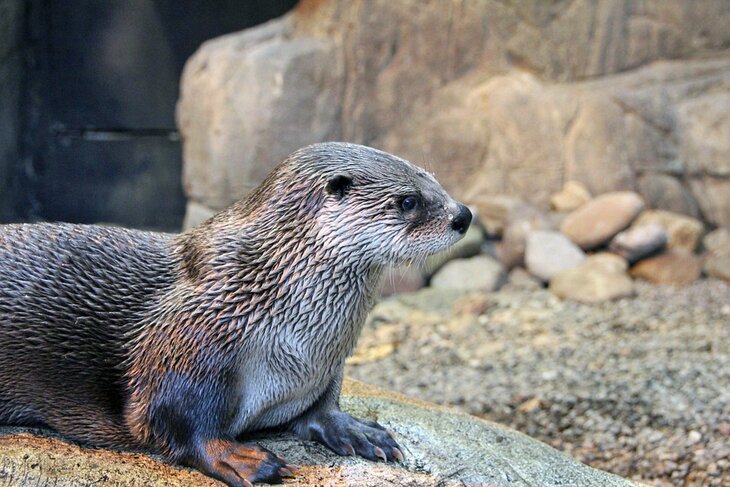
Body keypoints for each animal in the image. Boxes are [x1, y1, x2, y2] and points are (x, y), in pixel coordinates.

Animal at [0, 143, 472, 486]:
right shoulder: (192, 343)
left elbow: (323, 407)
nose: (463, 215)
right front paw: (243, 459)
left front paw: (357, 431)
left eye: (433, 178)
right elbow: (174, 419)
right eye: (408, 201)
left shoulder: (328, 366)